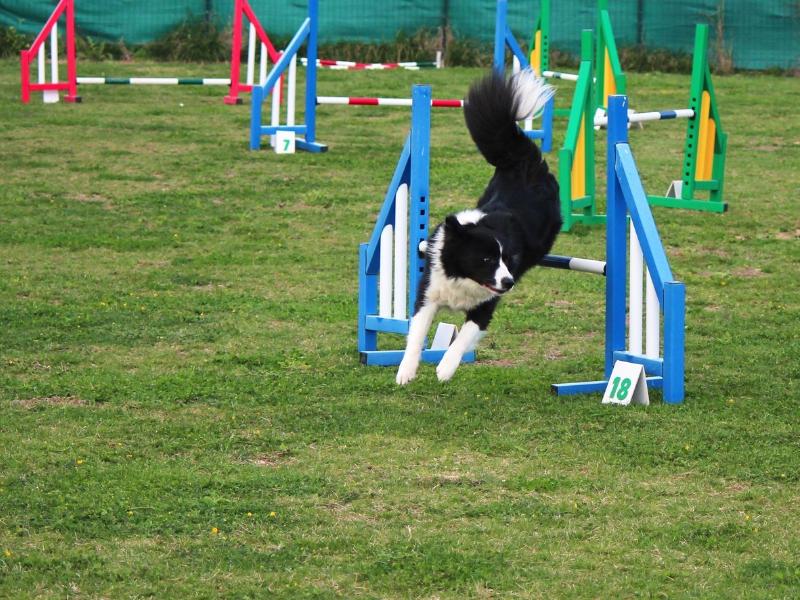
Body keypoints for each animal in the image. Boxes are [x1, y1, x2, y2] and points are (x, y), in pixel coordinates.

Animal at [396, 70, 560, 384]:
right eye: (486, 259)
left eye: (508, 259)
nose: (509, 282)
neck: (463, 276)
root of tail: (520, 160)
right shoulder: (428, 294)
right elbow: (416, 333)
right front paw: (405, 371)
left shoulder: (486, 307)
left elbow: (463, 337)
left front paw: (445, 368)